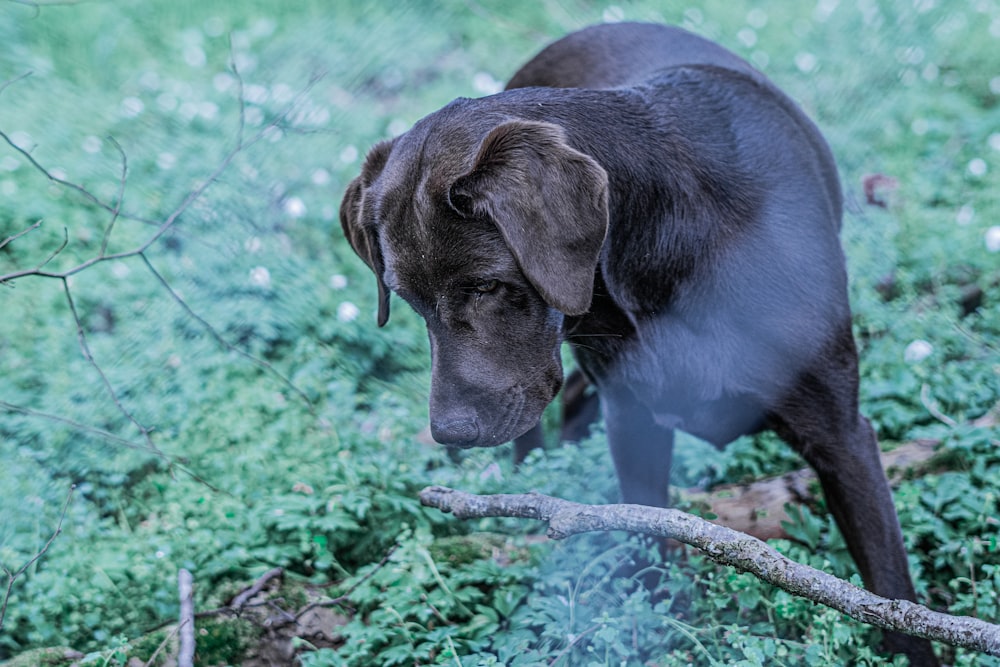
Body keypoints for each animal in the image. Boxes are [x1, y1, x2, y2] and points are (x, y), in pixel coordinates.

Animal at [342, 22, 936, 667]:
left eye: (487, 285)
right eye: (408, 300)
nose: (451, 433)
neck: (665, 248)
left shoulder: (842, 437)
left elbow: (893, 598)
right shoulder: (634, 422)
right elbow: (649, 553)